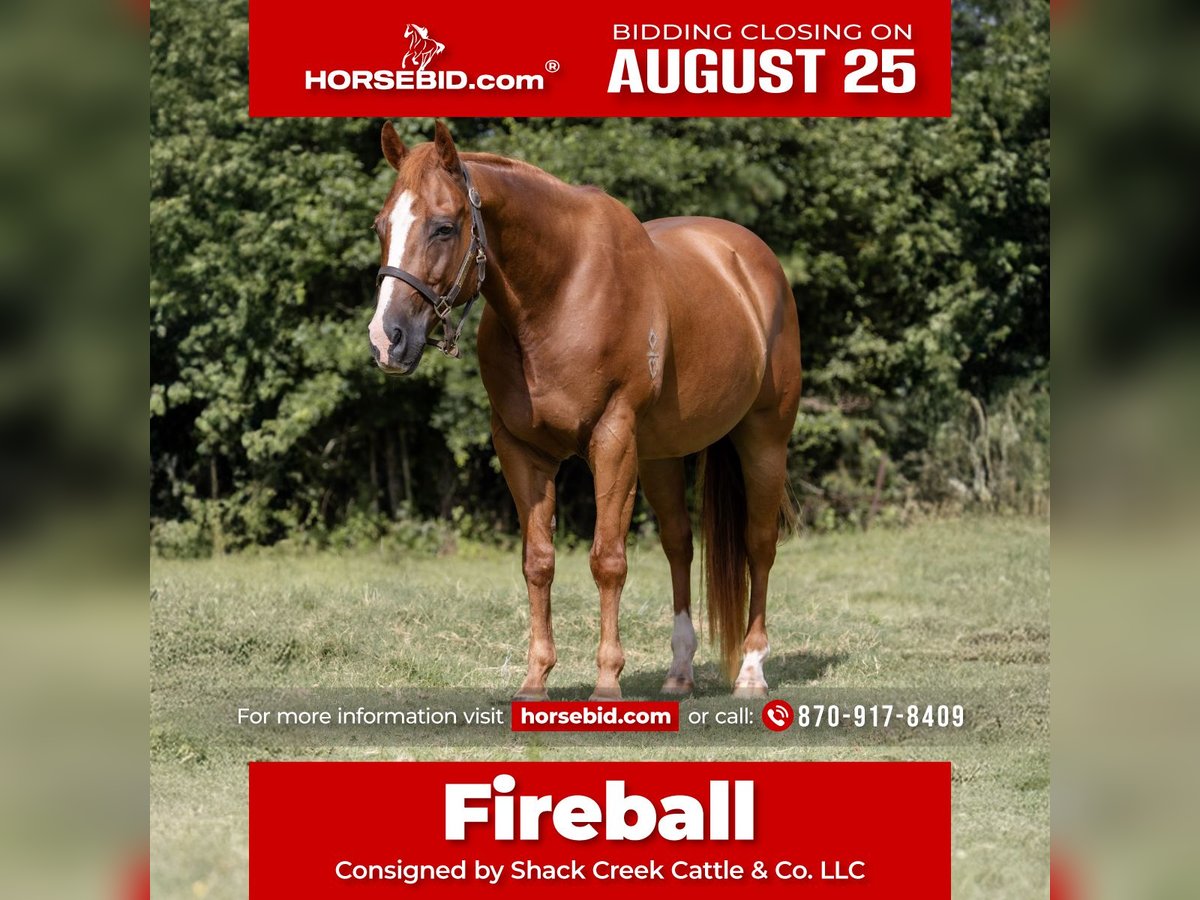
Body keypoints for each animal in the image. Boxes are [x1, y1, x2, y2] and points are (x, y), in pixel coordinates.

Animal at [368, 122, 801, 700]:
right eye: (381, 226)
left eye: (442, 227)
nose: (386, 339)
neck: (559, 292)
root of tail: (753, 261)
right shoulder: (521, 450)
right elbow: (538, 562)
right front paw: (534, 681)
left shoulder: (612, 440)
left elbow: (608, 561)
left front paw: (606, 683)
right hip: (661, 457)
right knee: (679, 545)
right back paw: (678, 674)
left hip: (764, 439)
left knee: (759, 545)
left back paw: (752, 671)